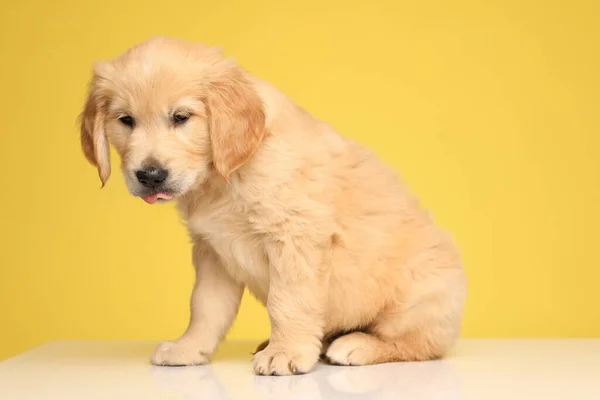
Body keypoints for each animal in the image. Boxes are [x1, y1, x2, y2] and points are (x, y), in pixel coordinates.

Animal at [77, 36, 466, 376]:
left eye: (181, 117)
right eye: (126, 120)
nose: (150, 175)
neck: (223, 179)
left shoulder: (294, 236)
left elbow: (288, 301)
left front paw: (287, 352)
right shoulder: (212, 250)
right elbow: (204, 307)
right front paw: (189, 349)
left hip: (420, 297)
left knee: (421, 346)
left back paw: (355, 345)